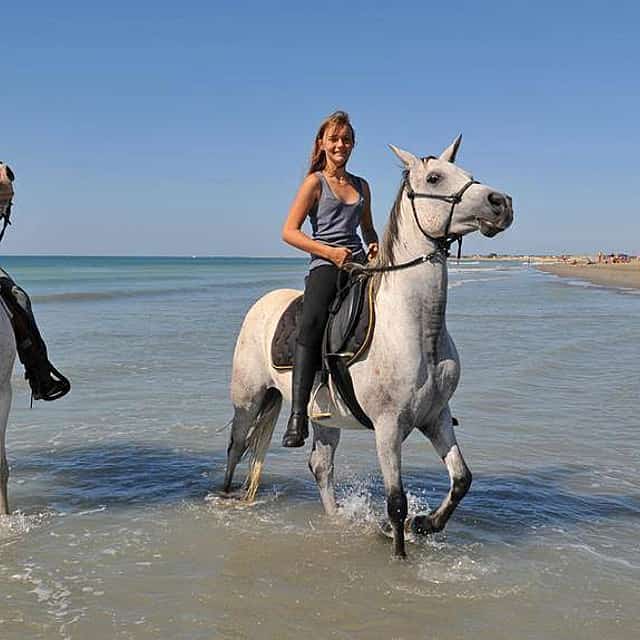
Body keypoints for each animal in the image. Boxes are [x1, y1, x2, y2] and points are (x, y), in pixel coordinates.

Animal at [221, 136, 513, 557]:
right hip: (248, 399)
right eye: (435, 177)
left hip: (324, 418)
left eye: (467, 173)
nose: (501, 203)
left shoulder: (436, 416)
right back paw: (225, 498)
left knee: (321, 466)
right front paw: (401, 553)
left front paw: (425, 524)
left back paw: (336, 520)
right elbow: (396, 501)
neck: (416, 328)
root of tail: (262, 303)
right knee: (236, 446)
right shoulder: (388, 426)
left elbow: (462, 479)